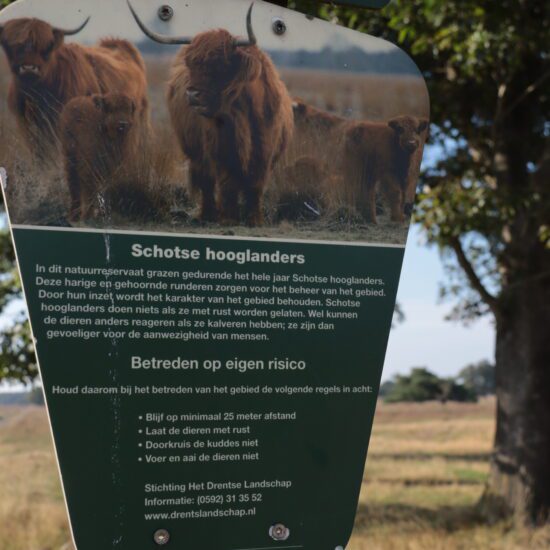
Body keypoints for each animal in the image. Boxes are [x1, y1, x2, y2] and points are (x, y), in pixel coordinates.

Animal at [61, 93, 140, 222]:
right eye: (111, 108)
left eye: (128, 109)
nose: (122, 124)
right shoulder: (89, 167)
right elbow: (90, 189)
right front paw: (88, 216)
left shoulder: (114, 167)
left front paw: (105, 214)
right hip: (69, 158)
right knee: (73, 182)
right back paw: (75, 215)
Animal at [129, 2, 296, 226]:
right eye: (191, 63)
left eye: (219, 63)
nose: (192, 94)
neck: (242, 113)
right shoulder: (221, 148)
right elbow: (227, 184)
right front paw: (229, 218)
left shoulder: (265, 150)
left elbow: (255, 185)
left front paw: (254, 219)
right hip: (195, 150)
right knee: (206, 180)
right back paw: (208, 214)